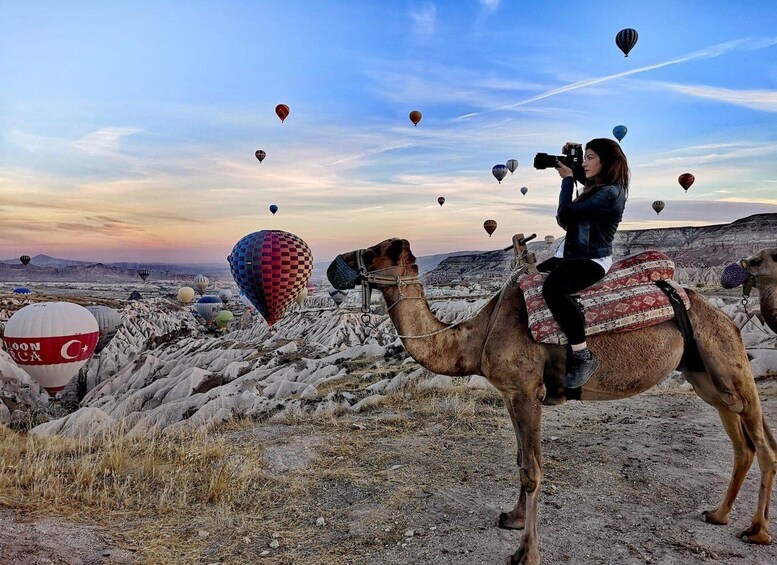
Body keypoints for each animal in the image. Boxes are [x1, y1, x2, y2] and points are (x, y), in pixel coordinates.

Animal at [328, 238, 776, 564]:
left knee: (764, 444)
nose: (334, 264)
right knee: (742, 443)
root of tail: (718, 311)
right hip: (703, 374)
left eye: (374, 250)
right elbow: (521, 461)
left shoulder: (527, 392)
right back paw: (717, 515)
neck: (477, 334)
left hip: (728, 360)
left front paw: (526, 554)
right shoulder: (512, 393)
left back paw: (756, 531)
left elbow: (533, 471)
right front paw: (512, 518)